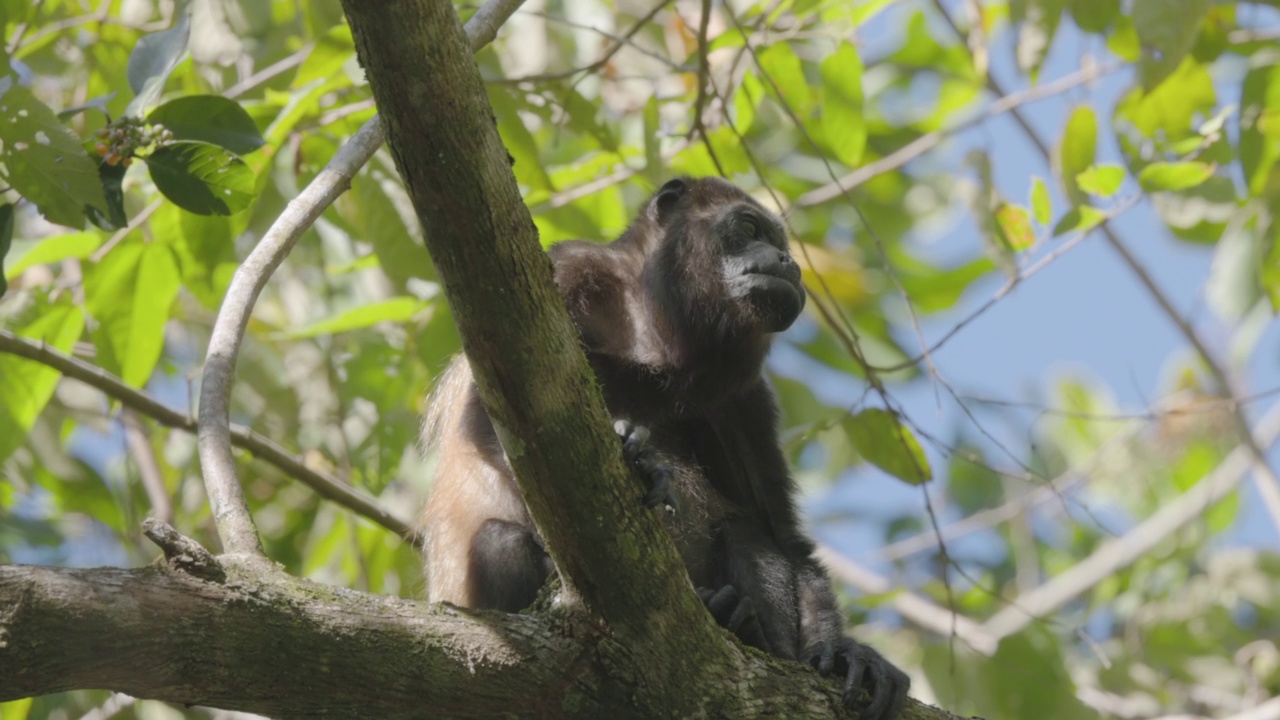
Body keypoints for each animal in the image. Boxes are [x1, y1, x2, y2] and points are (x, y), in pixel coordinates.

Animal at [419, 176, 911, 712]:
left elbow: (781, 534)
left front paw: (842, 652)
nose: (788, 261)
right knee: (498, 539)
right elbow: (488, 422)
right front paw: (638, 461)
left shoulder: (745, 397)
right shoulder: (569, 270)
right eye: (747, 228)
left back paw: (740, 623)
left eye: (783, 246)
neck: (653, 334)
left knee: (749, 534)